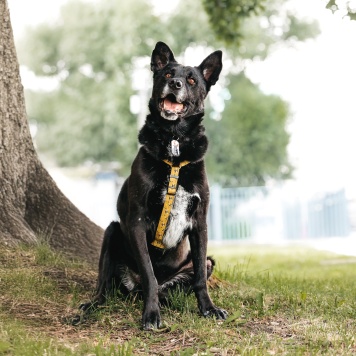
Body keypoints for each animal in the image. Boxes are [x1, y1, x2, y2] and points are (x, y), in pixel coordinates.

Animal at [81, 41, 228, 328]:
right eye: (168, 74)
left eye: (192, 80)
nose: (176, 84)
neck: (174, 142)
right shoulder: (137, 220)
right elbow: (149, 273)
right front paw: (151, 315)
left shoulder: (200, 224)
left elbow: (200, 280)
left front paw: (208, 309)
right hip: (112, 233)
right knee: (107, 286)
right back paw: (92, 306)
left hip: (203, 263)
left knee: (179, 284)